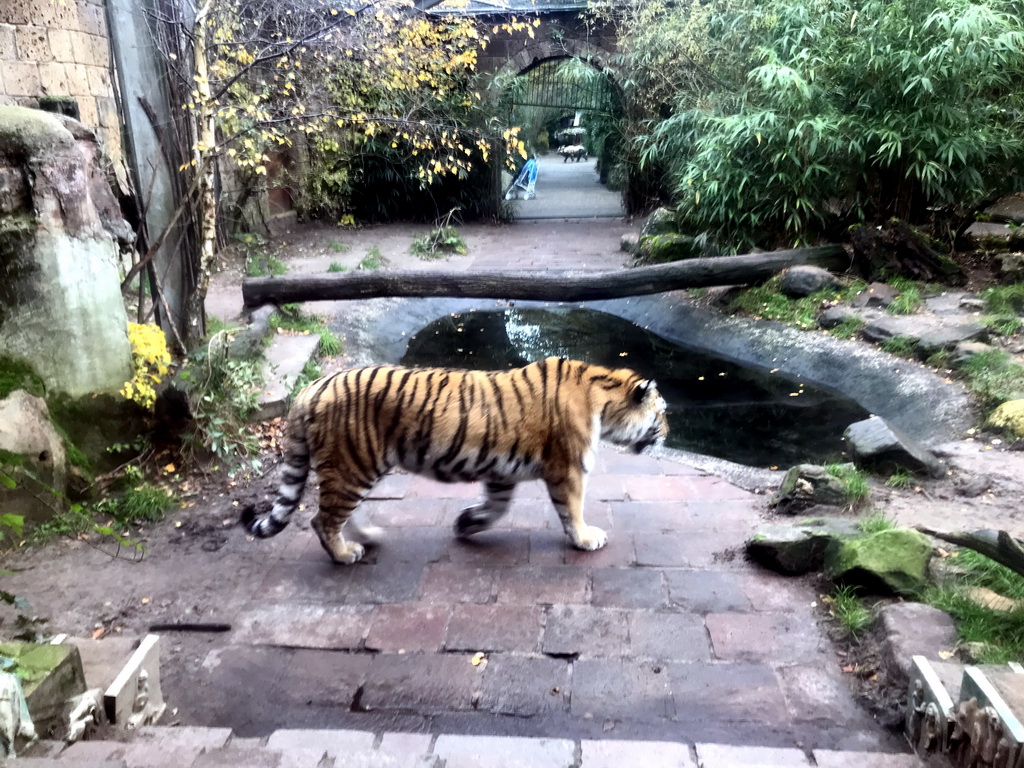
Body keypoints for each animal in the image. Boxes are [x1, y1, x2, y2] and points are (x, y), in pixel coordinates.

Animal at [242, 356, 667, 565]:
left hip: (357, 468)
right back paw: (345, 554)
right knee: (323, 519)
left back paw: (368, 537)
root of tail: (310, 389)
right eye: (661, 413)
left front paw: (466, 523)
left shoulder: (502, 468)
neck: (602, 393)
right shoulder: (569, 468)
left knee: (344, 512)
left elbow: (497, 506)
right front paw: (585, 539)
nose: (668, 430)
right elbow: (573, 509)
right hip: (351, 466)